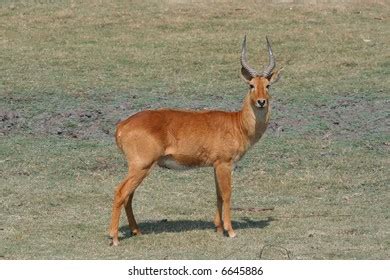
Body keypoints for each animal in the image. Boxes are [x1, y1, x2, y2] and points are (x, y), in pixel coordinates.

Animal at [109, 35, 280, 245]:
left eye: (268, 85)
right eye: (251, 85)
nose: (261, 102)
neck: (237, 123)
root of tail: (121, 126)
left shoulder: (216, 165)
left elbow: (218, 195)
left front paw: (218, 228)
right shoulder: (225, 164)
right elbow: (227, 194)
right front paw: (230, 231)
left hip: (139, 168)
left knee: (128, 196)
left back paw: (136, 231)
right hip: (141, 166)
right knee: (120, 192)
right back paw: (114, 238)